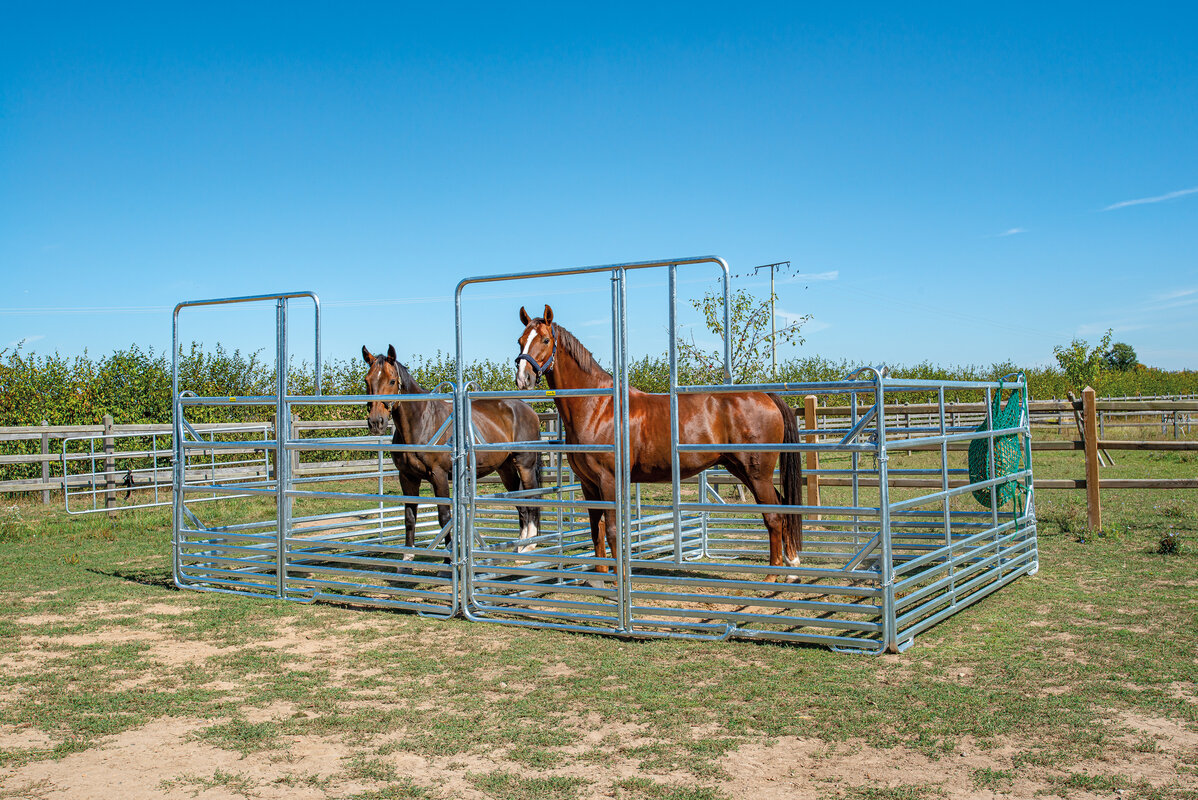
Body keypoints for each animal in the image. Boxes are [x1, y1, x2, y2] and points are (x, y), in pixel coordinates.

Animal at [357, 344, 541, 555]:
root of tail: (529, 410)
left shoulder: (439, 475)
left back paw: (530, 545)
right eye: (367, 380)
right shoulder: (407, 477)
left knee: (533, 497)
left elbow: (444, 517)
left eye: (392, 380)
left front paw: (448, 558)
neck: (422, 422)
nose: (376, 422)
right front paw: (408, 557)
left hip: (525, 464)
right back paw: (519, 546)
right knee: (520, 501)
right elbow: (410, 517)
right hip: (505, 468)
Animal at [510, 304, 800, 574]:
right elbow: (597, 530)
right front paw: (598, 579)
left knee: (774, 516)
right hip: (742, 470)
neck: (597, 406)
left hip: (757, 474)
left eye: (545, 340)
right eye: (520, 339)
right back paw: (791, 563)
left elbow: (613, 530)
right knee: (782, 508)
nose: (523, 378)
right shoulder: (588, 484)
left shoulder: (609, 480)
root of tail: (765, 395)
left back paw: (774, 574)